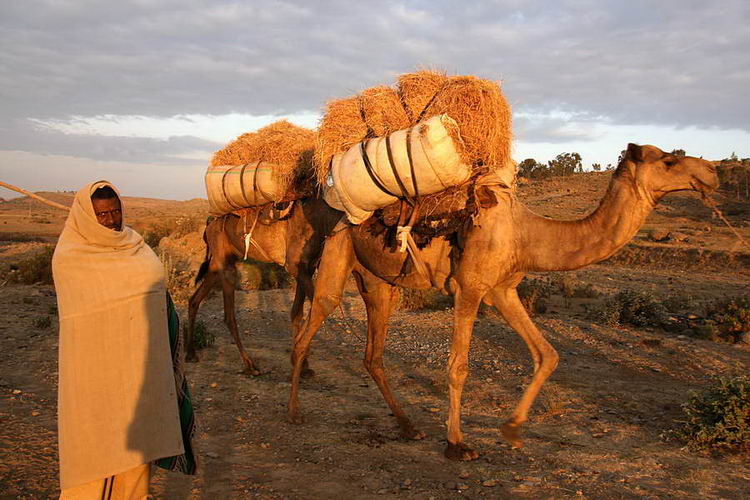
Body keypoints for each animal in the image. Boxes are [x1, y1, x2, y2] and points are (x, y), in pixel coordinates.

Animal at [188, 195, 340, 376]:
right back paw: (250, 365)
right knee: (229, 315)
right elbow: (316, 309)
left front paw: (302, 364)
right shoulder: (296, 266)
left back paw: (190, 354)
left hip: (216, 265)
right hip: (225, 265)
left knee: (194, 300)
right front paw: (299, 362)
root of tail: (209, 225)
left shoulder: (307, 268)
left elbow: (297, 312)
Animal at [288, 143, 724, 458]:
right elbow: (458, 367)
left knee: (371, 355)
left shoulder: (503, 290)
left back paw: (408, 427)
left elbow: (548, 354)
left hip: (380, 282)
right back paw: (294, 411)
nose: (712, 172)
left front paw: (512, 429)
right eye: (669, 160)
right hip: (338, 253)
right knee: (308, 328)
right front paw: (457, 444)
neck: (526, 235)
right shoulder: (470, 287)